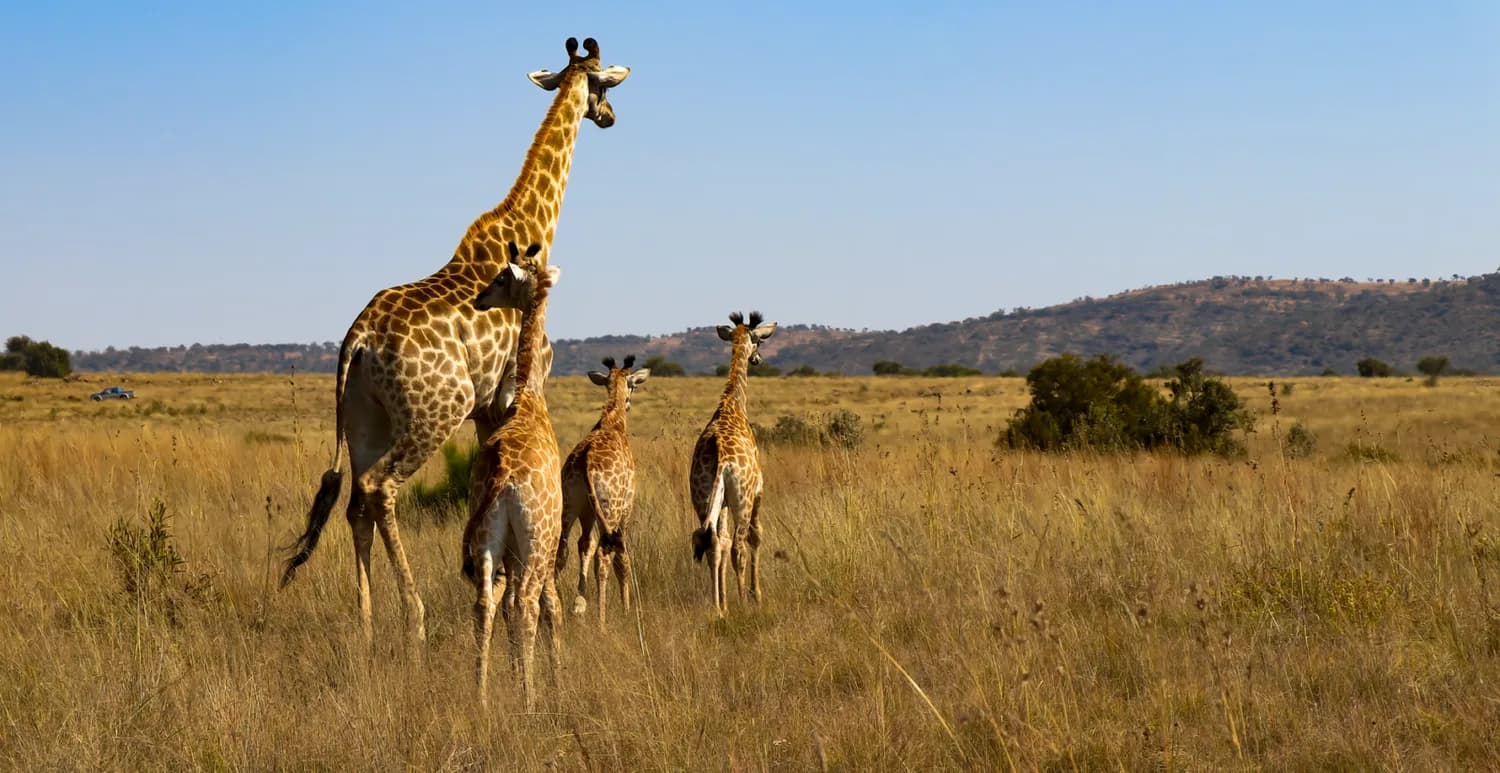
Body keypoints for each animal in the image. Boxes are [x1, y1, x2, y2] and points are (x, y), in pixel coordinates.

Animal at [279, 38, 629, 646]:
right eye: (603, 85)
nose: (609, 117)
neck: (534, 226)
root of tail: (356, 342)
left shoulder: (489, 408)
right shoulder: (519, 389)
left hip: (366, 418)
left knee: (354, 502)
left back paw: (365, 622)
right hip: (433, 412)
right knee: (380, 488)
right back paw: (413, 617)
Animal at [558, 354, 650, 625]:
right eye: (633, 385)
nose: (629, 404)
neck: (613, 423)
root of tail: (585, 460)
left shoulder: (588, 510)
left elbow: (584, 545)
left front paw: (579, 604)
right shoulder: (626, 509)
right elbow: (623, 556)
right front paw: (627, 608)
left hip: (570, 504)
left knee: (563, 550)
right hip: (610, 507)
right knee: (604, 553)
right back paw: (601, 621)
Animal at [690, 311, 778, 615]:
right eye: (759, 340)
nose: (758, 358)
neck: (733, 402)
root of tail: (721, 455)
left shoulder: (722, 501)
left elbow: (722, 542)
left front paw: (724, 601)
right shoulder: (759, 490)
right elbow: (757, 535)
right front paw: (755, 594)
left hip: (702, 497)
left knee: (714, 542)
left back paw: (719, 608)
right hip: (742, 499)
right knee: (738, 544)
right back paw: (743, 603)